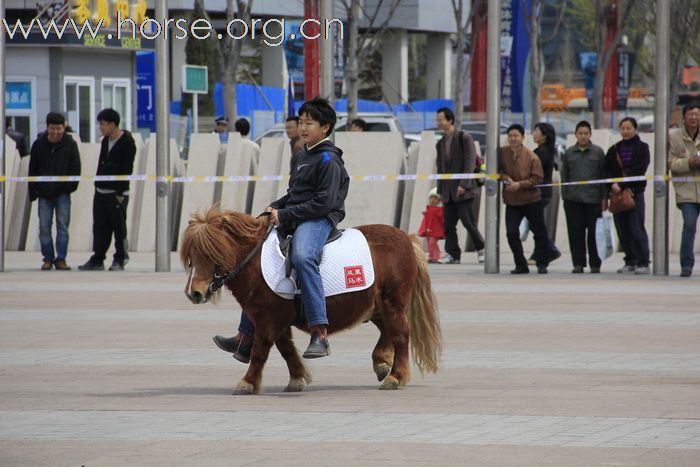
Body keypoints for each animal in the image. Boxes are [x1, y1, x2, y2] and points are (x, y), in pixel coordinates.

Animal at [180, 208, 442, 394]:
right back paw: (381, 363)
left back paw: (395, 376)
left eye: (211, 254)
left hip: (393, 303)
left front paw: (247, 383)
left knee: (400, 336)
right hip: (376, 306)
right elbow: (285, 349)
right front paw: (297, 378)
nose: (195, 293)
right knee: (388, 332)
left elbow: (261, 351)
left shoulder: (268, 320)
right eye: (191, 257)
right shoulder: (273, 318)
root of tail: (406, 238)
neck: (254, 262)